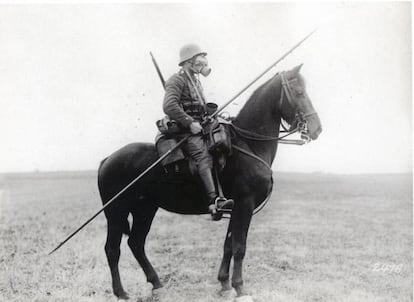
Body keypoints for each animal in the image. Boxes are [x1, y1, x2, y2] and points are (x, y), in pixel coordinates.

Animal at [98, 64, 324, 300]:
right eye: (299, 92)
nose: (317, 128)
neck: (250, 144)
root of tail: (108, 159)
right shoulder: (245, 204)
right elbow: (239, 246)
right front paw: (240, 287)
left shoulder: (236, 208)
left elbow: (228, 245)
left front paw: (224, 283)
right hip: (116, 212)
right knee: (113, 249)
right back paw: (121, 292)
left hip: (145, 209)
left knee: (136, 243)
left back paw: (157, 284)